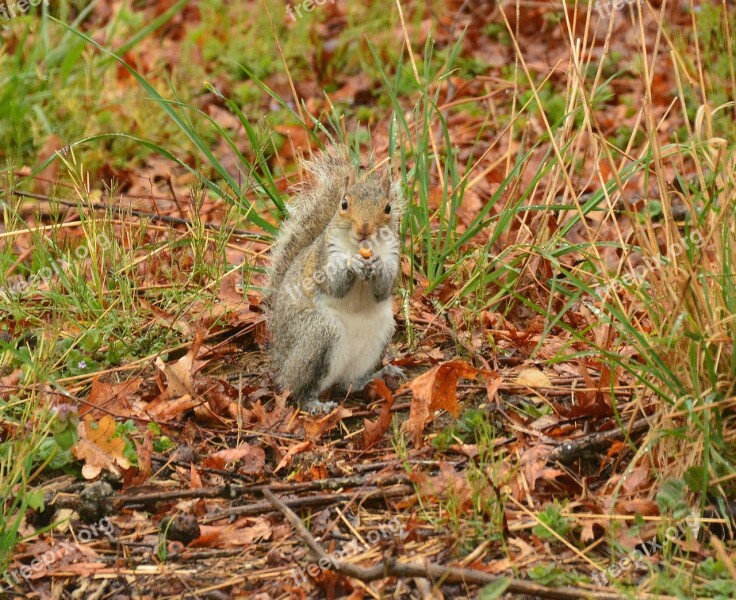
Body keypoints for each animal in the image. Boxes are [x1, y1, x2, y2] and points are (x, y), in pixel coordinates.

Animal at [264, 146, 402, 418]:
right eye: (344, 204)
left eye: (388, 208)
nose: (364, 229)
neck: (362, 248)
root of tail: (281, 356)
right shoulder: (325, 256)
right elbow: (333, 284)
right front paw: (351, 264)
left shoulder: (393, 256)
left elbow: (384, 289)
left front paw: (377, 267)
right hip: (318, 334)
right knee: (297, 388)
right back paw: (314, 403)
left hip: (379, 336)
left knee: (349, 383)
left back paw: (376, 376)